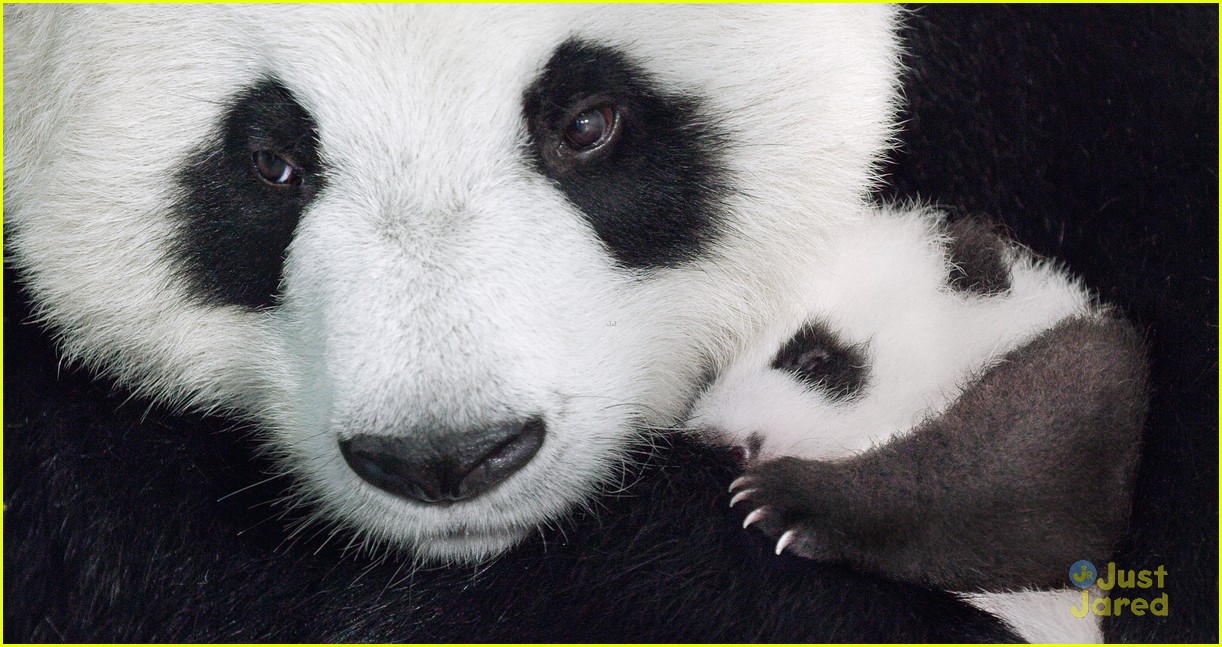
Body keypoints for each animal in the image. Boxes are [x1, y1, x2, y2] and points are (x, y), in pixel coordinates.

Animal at [683, 205, 1147, 641]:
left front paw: (789, 497)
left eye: (813, 359)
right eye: (707, 376)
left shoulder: (1086, 376)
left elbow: (1020, 473)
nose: (721, 444)